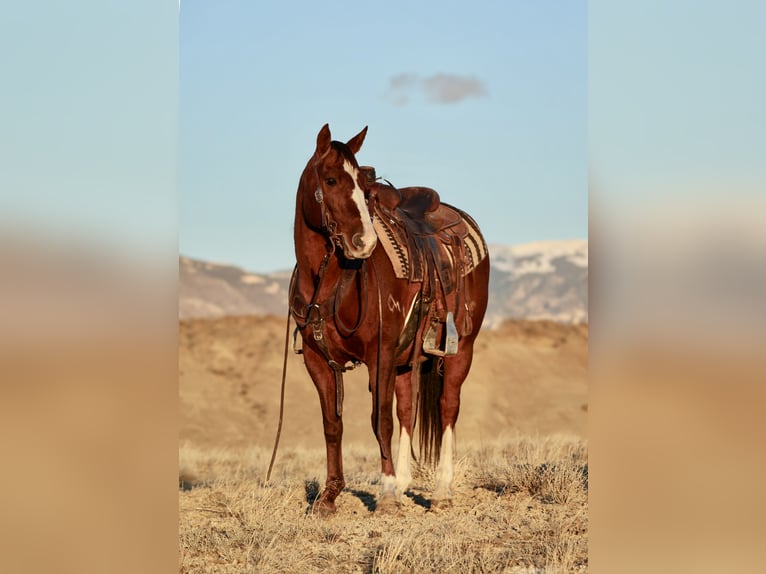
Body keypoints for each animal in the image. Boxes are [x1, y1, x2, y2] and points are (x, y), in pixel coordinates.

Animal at [289, 124, 490, 514]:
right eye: (331, 180)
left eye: (363, 186)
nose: (363, 242)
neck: (331, 280)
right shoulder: (318, 361)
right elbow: (332, 424)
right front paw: (329, 496)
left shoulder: (378, 354)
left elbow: (379, 420)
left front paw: (386, 496)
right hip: (405, 360)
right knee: (408, 409)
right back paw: (406, 481)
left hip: (462, 349)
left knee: (448, 408)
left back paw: (440, 491)